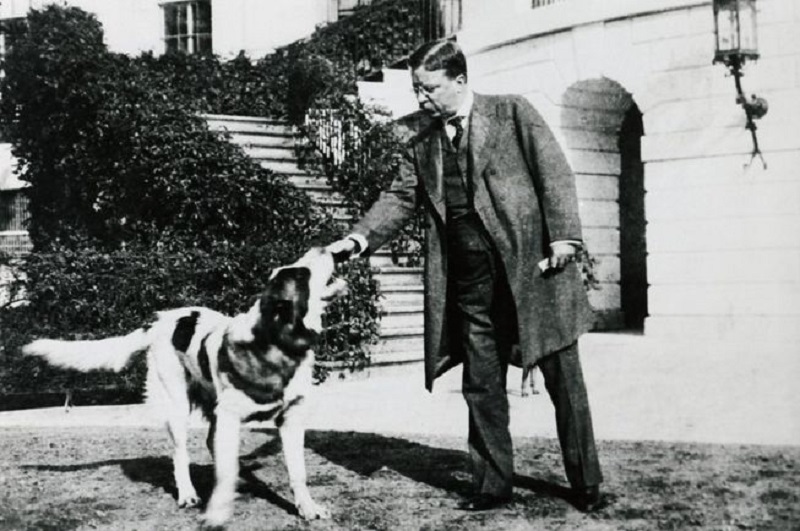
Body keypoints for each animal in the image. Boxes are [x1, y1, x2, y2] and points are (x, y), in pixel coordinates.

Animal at [22, 248, 344, 528]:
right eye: (302, 273)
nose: (326, 248)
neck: (277, 342)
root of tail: (158, 321)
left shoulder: (291, 418)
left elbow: (298, 472)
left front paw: (307, 508)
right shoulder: (230, 417)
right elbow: (221, 469)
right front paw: (217, 511)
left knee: (211, 445)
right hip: (177, 405)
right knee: (180, 454)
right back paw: (188, 494)